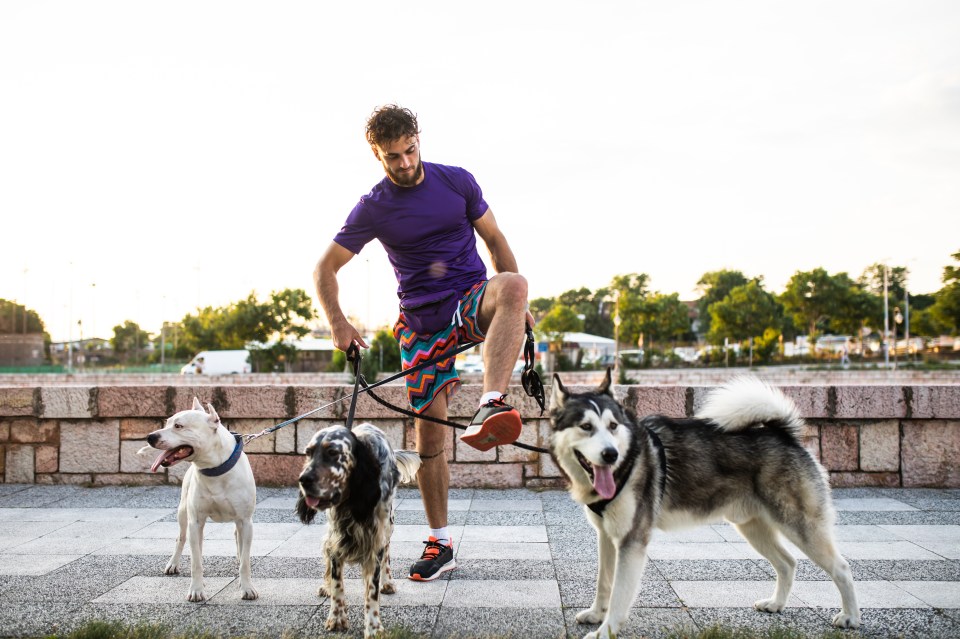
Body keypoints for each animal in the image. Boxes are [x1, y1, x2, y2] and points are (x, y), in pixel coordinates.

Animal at [142, 398, 258, 604]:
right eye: (167, 422)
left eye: (179, 426)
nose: (150, 436)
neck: (214, 469)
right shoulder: (195, 522)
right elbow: (196, 561)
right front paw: (196, 590)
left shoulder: (246, 521)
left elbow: (245, 561)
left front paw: (247, 588)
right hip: (183, 514)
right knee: (183, 539)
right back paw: (174, 564)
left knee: (237, 538)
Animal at [296, 422, 420, 636]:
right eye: (308, 453)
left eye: (332, 452)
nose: (303, 479)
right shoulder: (336, 539)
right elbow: (337, 584)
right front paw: (337, 617)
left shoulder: (375, 541)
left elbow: (372, 591)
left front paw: (374, 627)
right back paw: (325, 586)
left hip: (389, 526)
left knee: (388, 554)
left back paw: (387, 582)